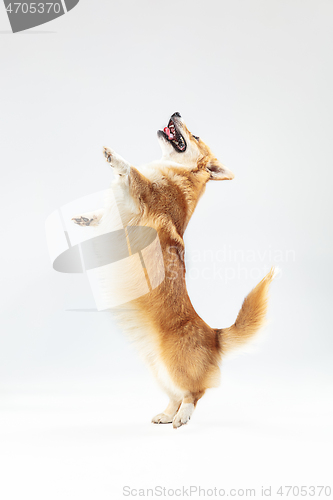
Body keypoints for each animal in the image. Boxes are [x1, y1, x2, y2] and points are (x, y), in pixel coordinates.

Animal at [72, 113, 274, 430]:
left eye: (197, 136)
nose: (176, 113)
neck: (180, 173)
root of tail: (213, 335)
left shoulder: (142, 192)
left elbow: (131, 172)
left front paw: (113, 157)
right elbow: (104, 212)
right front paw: (86, 218)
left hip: (175, 366)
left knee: (194, 393)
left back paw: (183, 416)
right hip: (160, 370)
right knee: (175, 395)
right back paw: (167, 414)